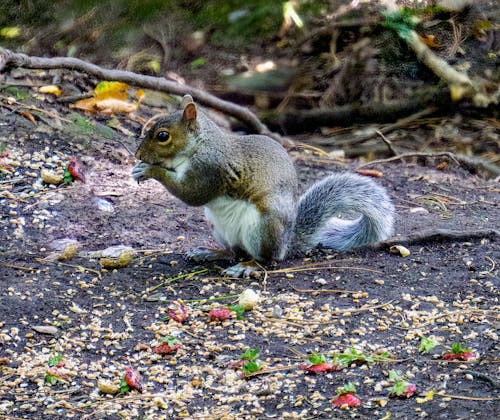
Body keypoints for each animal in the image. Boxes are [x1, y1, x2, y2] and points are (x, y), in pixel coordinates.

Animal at [133, 96, 394, 278]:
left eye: (163, 136)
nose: (137, 154)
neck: (200, 145)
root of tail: (286, 243)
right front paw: (139, 168)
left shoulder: (210, 170)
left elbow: (192, 195)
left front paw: (149, 170)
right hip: (217, 226)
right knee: (233, 251)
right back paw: (211, 252)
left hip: (263, 227)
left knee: (267, 259)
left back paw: (247, 267)